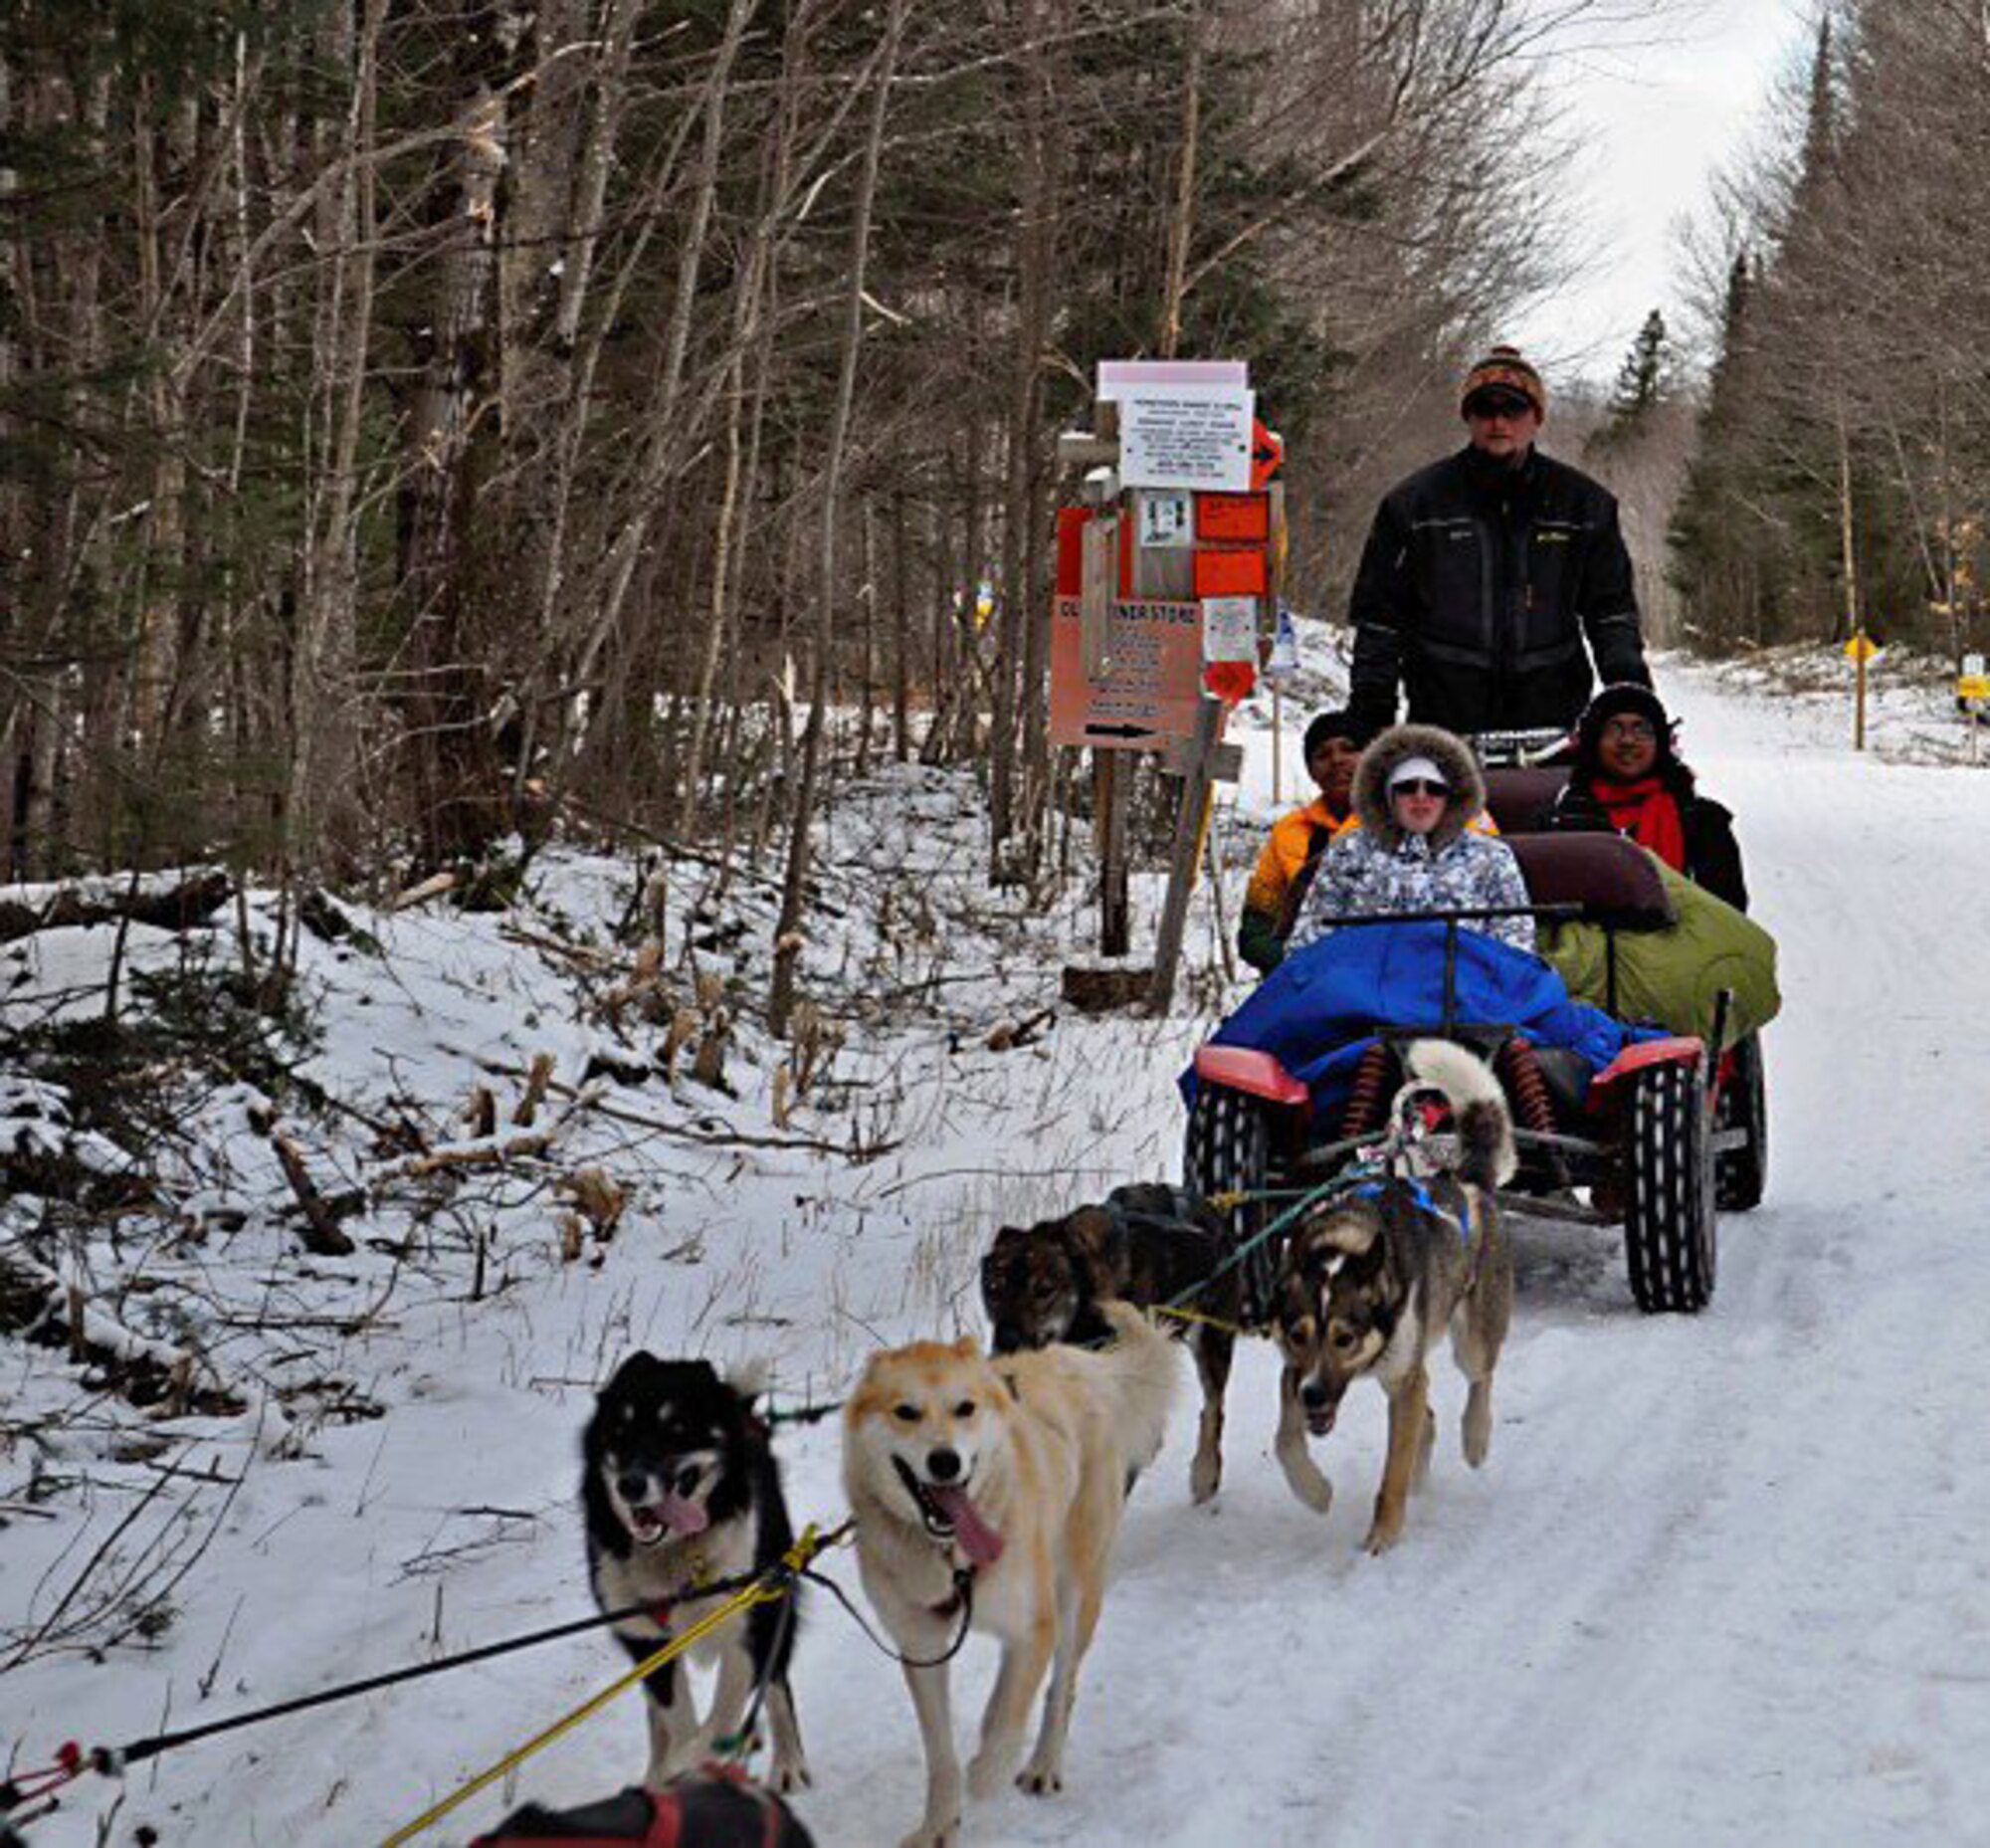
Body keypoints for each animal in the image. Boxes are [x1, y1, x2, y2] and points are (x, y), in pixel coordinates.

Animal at [581, 1345, 808, 1799]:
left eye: (678, 1429)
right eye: (619, 1433)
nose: (631, 1485)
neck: (674, 1558)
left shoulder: (747, 1624)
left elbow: (719, 1719)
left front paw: (694, 1764)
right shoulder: (647, 1643)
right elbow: (679, 1721)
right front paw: (672, 1771)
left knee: (775, 1682)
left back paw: (786, 1759)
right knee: (659, 1721)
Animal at [844, 1298, 1178, 1848]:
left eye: (965, 1408)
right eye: (906, 1411)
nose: (944, 1461)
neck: (952, 1560)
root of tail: (1074, 1361)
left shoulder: (1034, 1626)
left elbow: (1008, 1721)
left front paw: (986, 1774)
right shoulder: (922, 1647)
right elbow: (941, 1753)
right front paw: (938, 1824)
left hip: (1073, 1596)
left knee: (1059, 1688)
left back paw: (1042, 1764)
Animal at [1274, 1043, 1504, 1552]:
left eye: (1344, 1338)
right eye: (1299, 1335)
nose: (1314, 1395)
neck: (1346, 1245)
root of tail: (1465, 1181)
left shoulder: (1401, 1381)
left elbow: (1392, 1476)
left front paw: (1382, 1535)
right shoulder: (1293, 1370)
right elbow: (1285, 1441)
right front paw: (1313, 1490)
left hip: (1468, 1340)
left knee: (1479, 1379)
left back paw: (1475, 1437)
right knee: (1429, 1414)